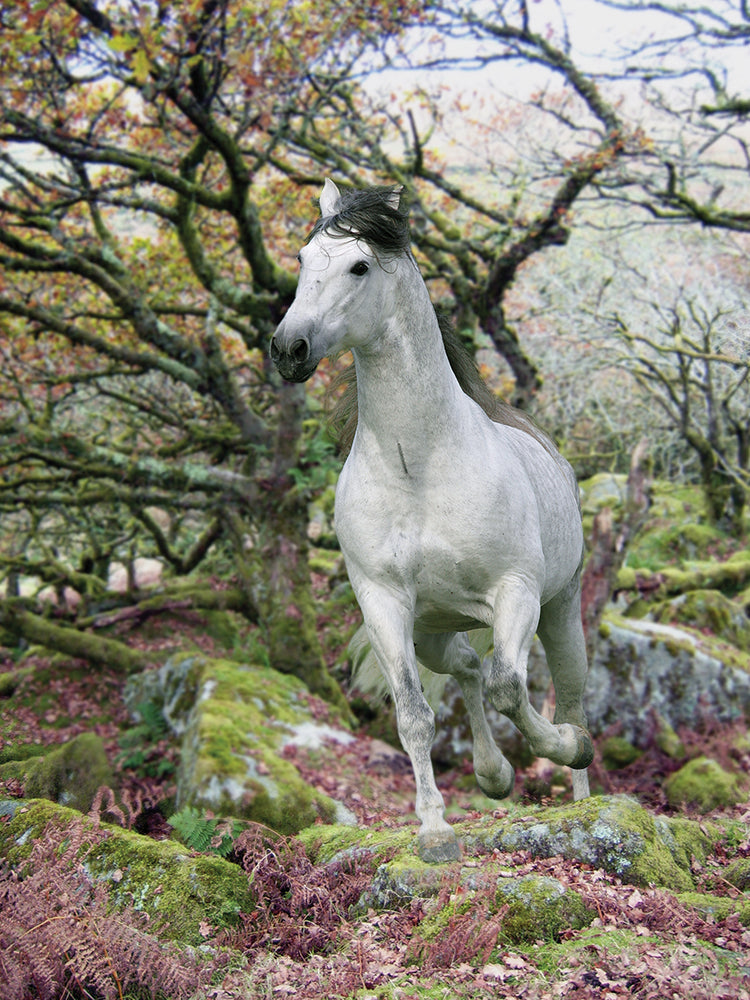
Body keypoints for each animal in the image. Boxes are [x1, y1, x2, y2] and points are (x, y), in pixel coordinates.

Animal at [271, 180, 593, 863]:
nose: (289, 349)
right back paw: (493, 774)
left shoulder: (516, 592)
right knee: (468, 669)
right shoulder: (385, 606)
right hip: (435, 631)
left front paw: (557, 752)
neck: (418, 466)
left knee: (569, 696)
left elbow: (510, 688)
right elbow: (415, 716)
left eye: (360, 266)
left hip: (560, 609)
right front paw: (435, 829)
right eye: (304, 260)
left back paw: (582, 788)